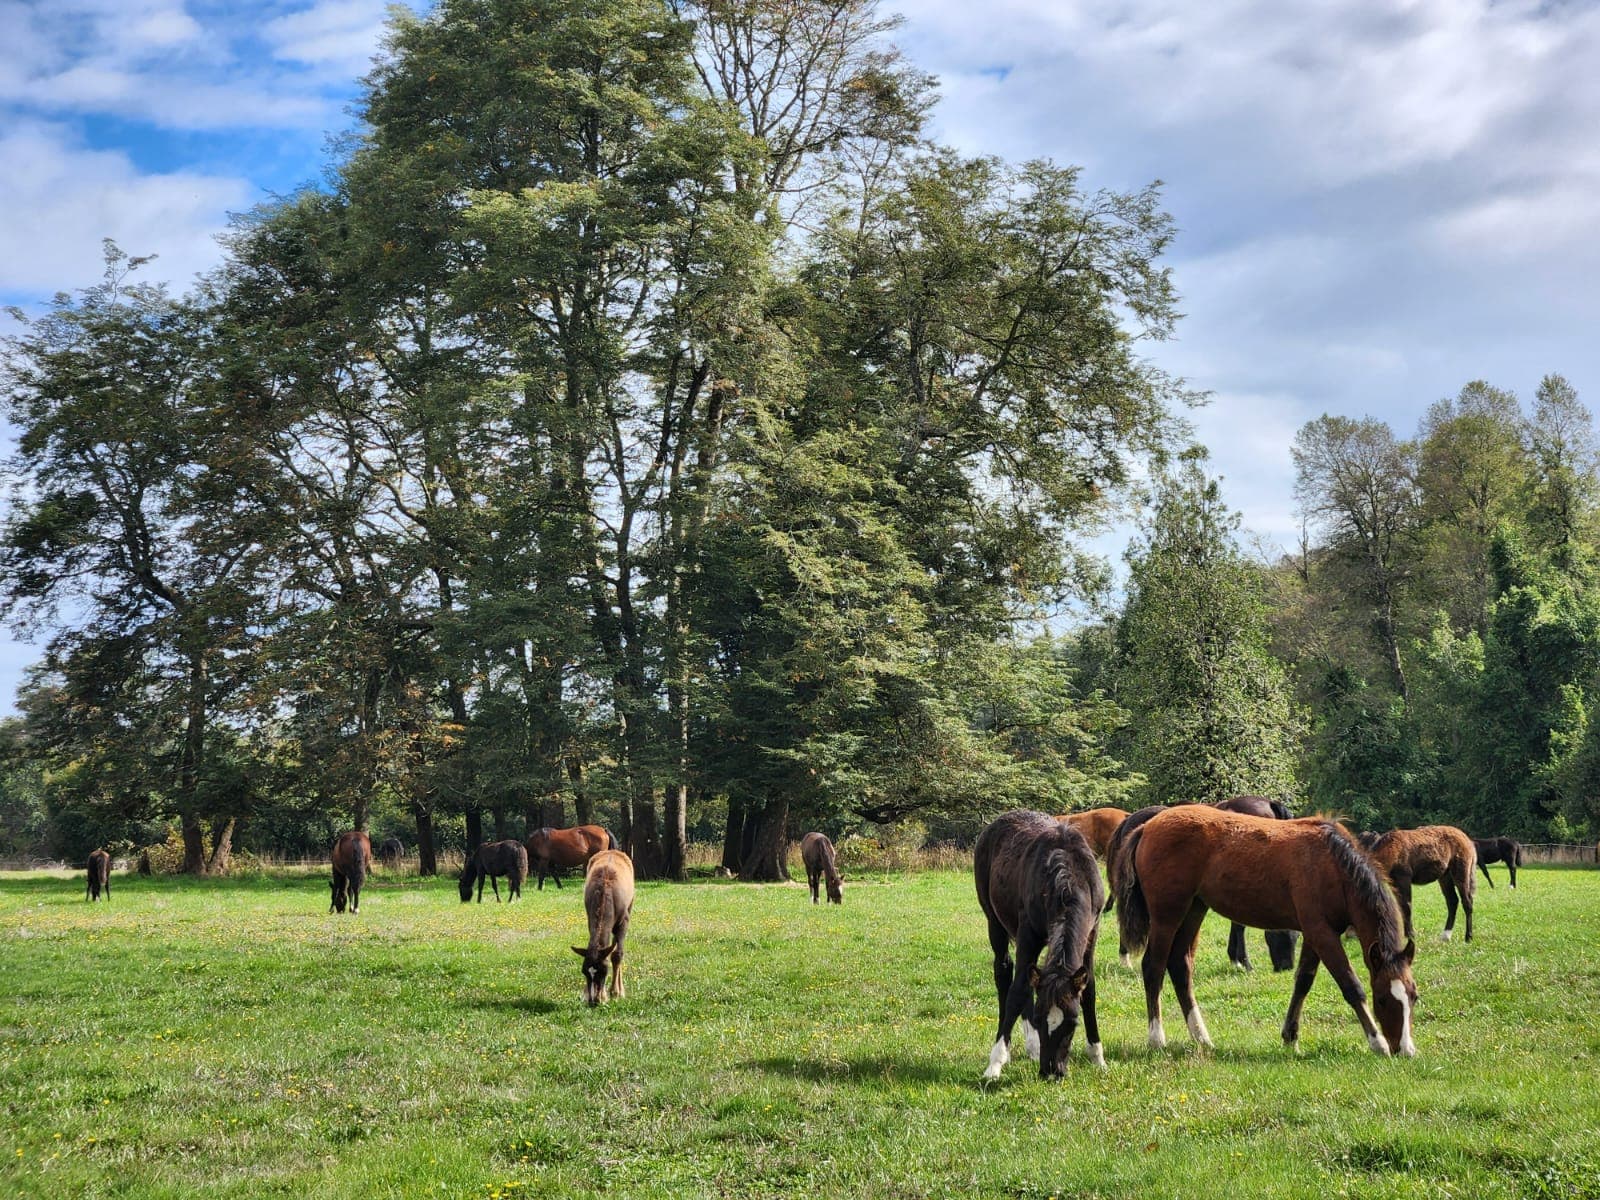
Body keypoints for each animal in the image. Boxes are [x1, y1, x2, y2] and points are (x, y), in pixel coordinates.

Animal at [572, 849, 635, 1006]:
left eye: (604, 971)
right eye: (584, 971)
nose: (594, 1001)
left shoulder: (624, 921)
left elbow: (617, 954)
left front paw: (615, 992)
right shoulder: (590, 918)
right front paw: (589, 994)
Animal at [974, 810, 1105, 1080]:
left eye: (1073, 1023)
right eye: (1040, 1016)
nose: (1052, 1071)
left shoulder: (1091, 933)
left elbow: (1088, 990)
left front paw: (1098, 1056)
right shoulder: (1028, 933)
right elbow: (1016, 992)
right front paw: (995, 1063)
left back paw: (1033, 1047)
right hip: (995, 922)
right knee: (1005, 973)